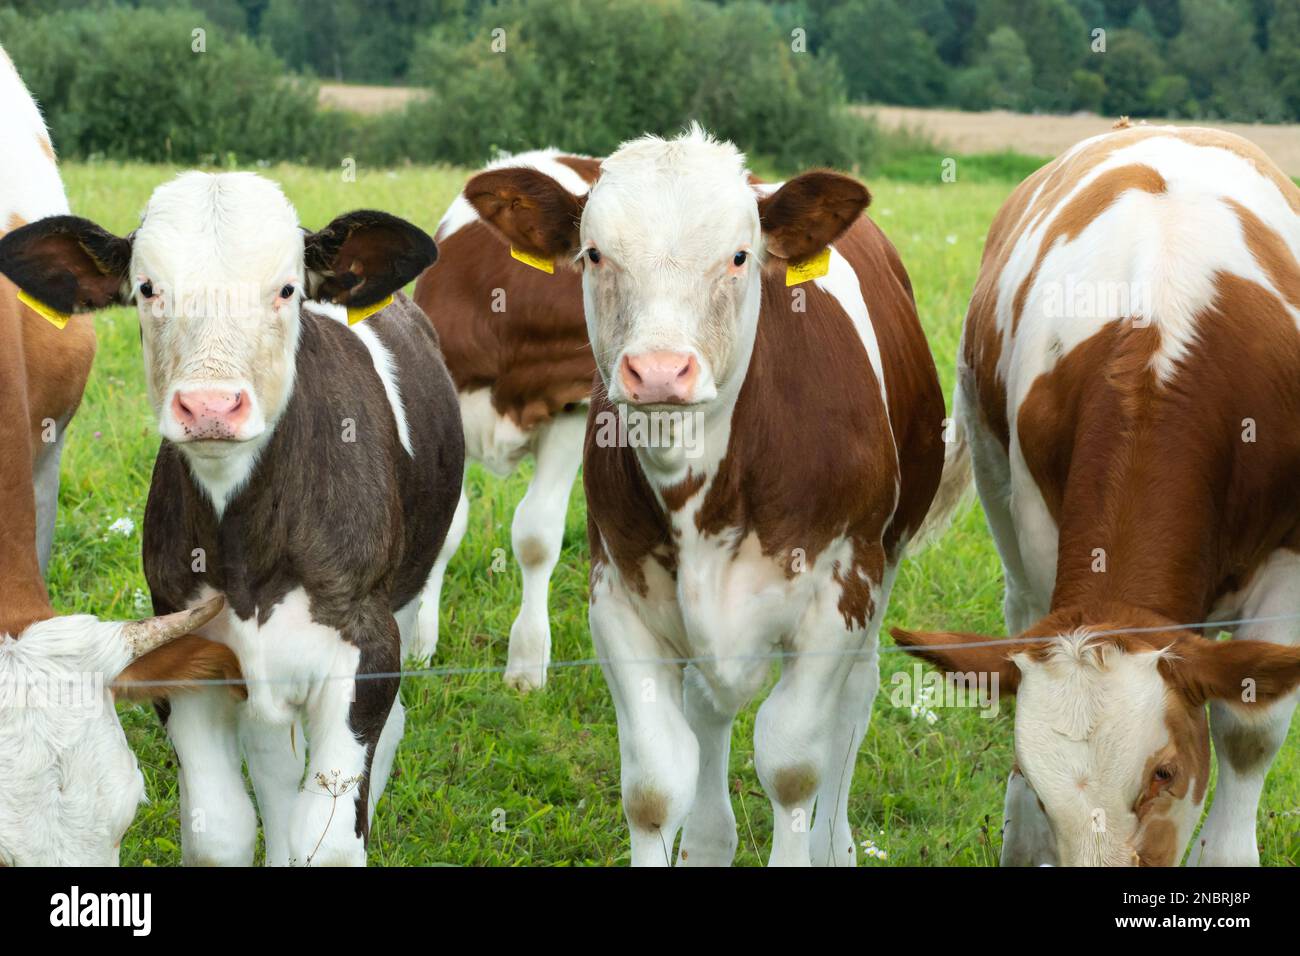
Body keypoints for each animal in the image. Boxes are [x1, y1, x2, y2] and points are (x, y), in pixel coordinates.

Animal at [0, 171, 465, 868]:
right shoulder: (194, 645)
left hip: (408, 599)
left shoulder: (365, 644)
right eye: (148, 287)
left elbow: (329, 840)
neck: (249, 547)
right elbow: (220, 829)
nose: (211, 405)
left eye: (287, 288)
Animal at [462, 127, 951, 868]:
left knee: (855, 699)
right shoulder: (618, 596)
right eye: (594, 253)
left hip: (883, 564)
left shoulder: (838, 594)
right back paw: (709, 840)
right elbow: (655, 784)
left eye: (739, 256)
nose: (660, 370)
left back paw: (836, 843)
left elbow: (792, 767)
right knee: (708, 708)